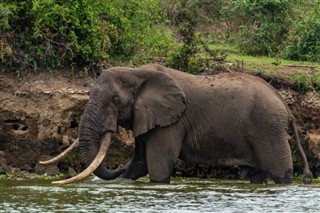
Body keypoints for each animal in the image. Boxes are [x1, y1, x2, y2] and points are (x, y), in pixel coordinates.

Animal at [50, 63, 312, 185]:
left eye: (115, 100)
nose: (118, 165)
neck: (137, 71)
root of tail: (285, 104)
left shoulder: (171, 123)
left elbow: (158, 166)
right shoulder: (148, 117)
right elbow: (140, 163)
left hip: (268, 129)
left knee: (281, 173)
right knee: (258, 176)